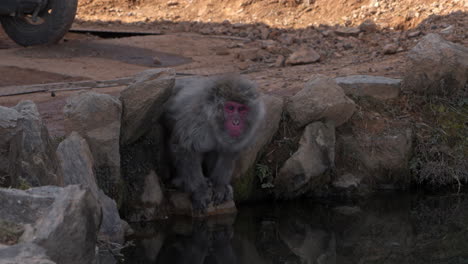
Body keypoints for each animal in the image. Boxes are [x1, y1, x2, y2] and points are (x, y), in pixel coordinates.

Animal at [163, 74, 266, 210]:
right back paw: (181, 181)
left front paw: (220, 186)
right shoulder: (195, 119)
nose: (236, 122)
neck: (213, 120)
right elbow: (185, 148)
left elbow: (228, 152)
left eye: (242, 109)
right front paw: (199, 191)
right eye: (230, 108)